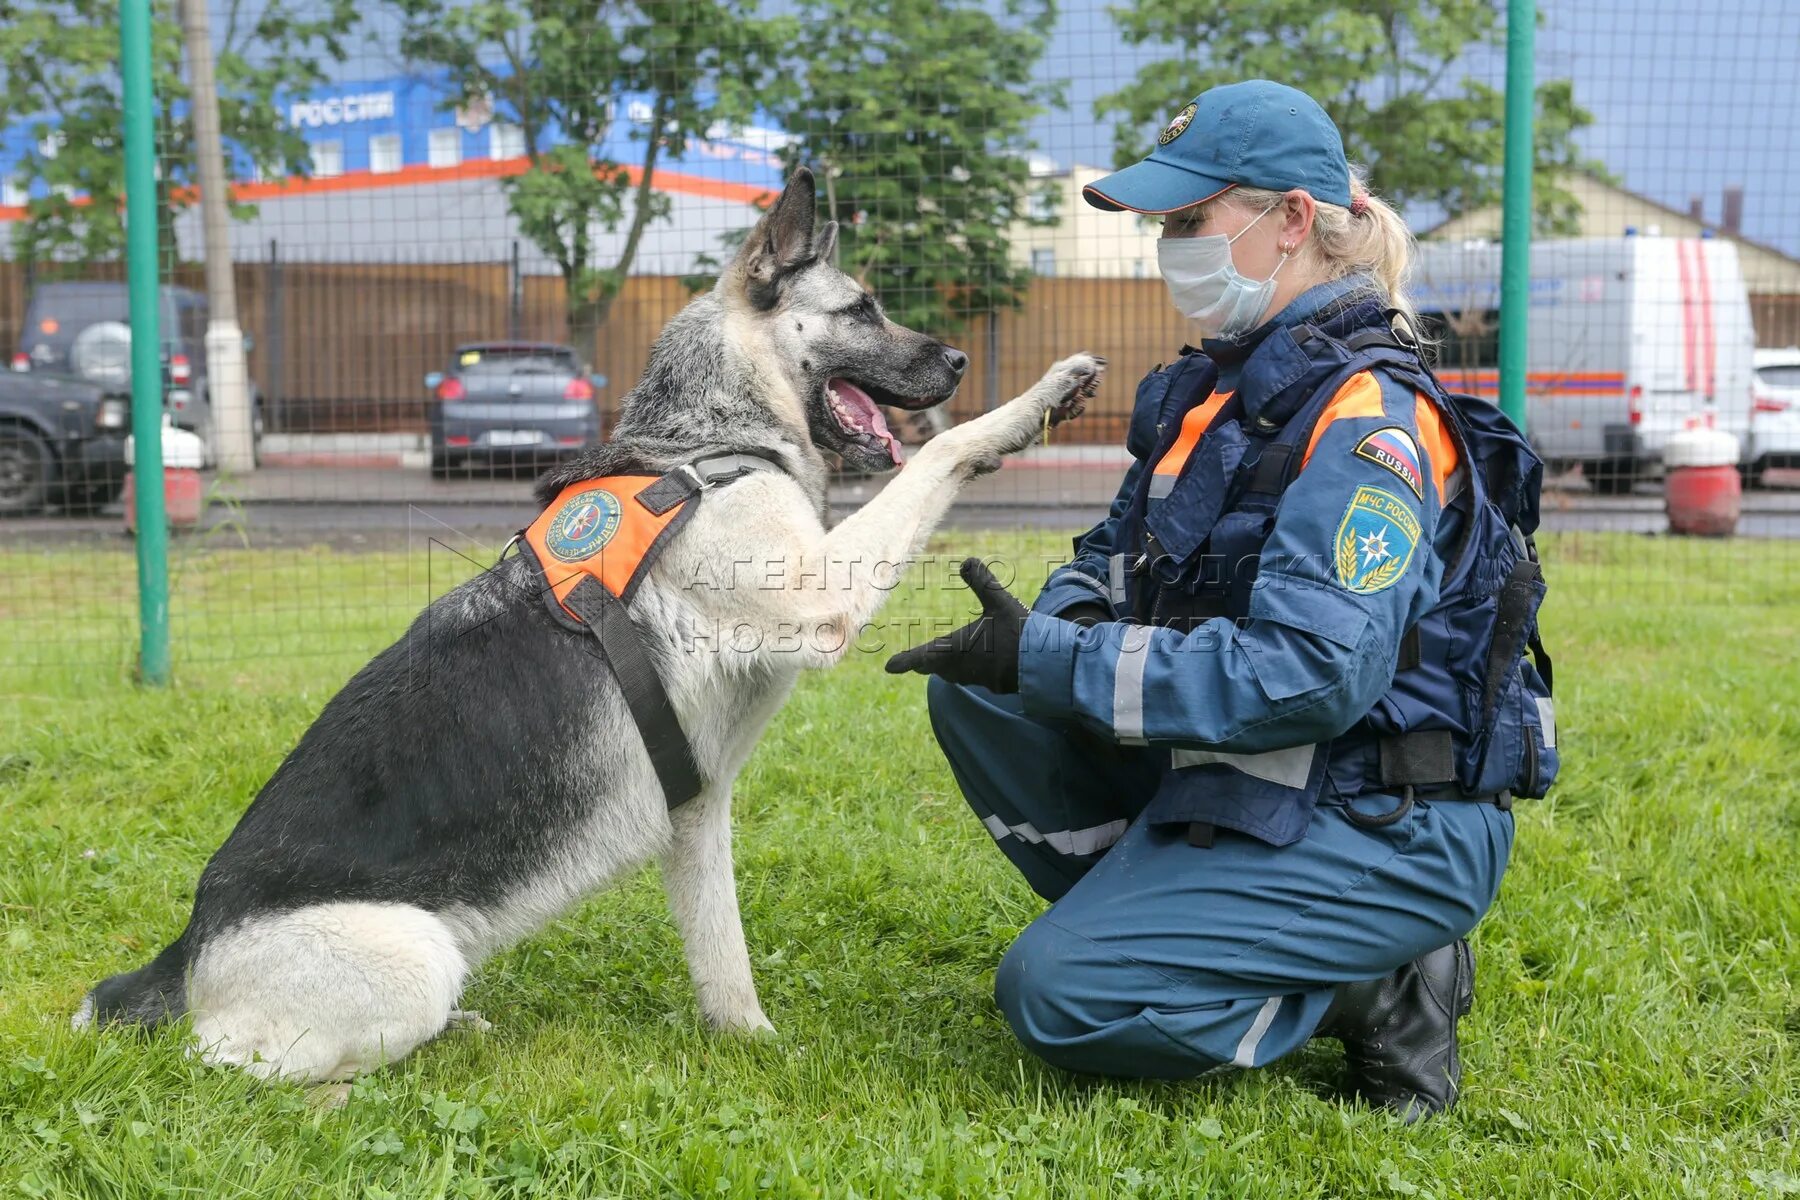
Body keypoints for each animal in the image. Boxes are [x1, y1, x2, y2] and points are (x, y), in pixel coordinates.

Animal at [73, 164, 1094, 1086]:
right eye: (865, 309)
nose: (959, 364)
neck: (706, 448)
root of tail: (188, 956)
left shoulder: (699, 813)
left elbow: (725, 961)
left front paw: (751, 1046)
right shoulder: (821, 591)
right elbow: (941, 458)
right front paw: (1032, 403)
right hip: (411, 955)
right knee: (243, 1070)